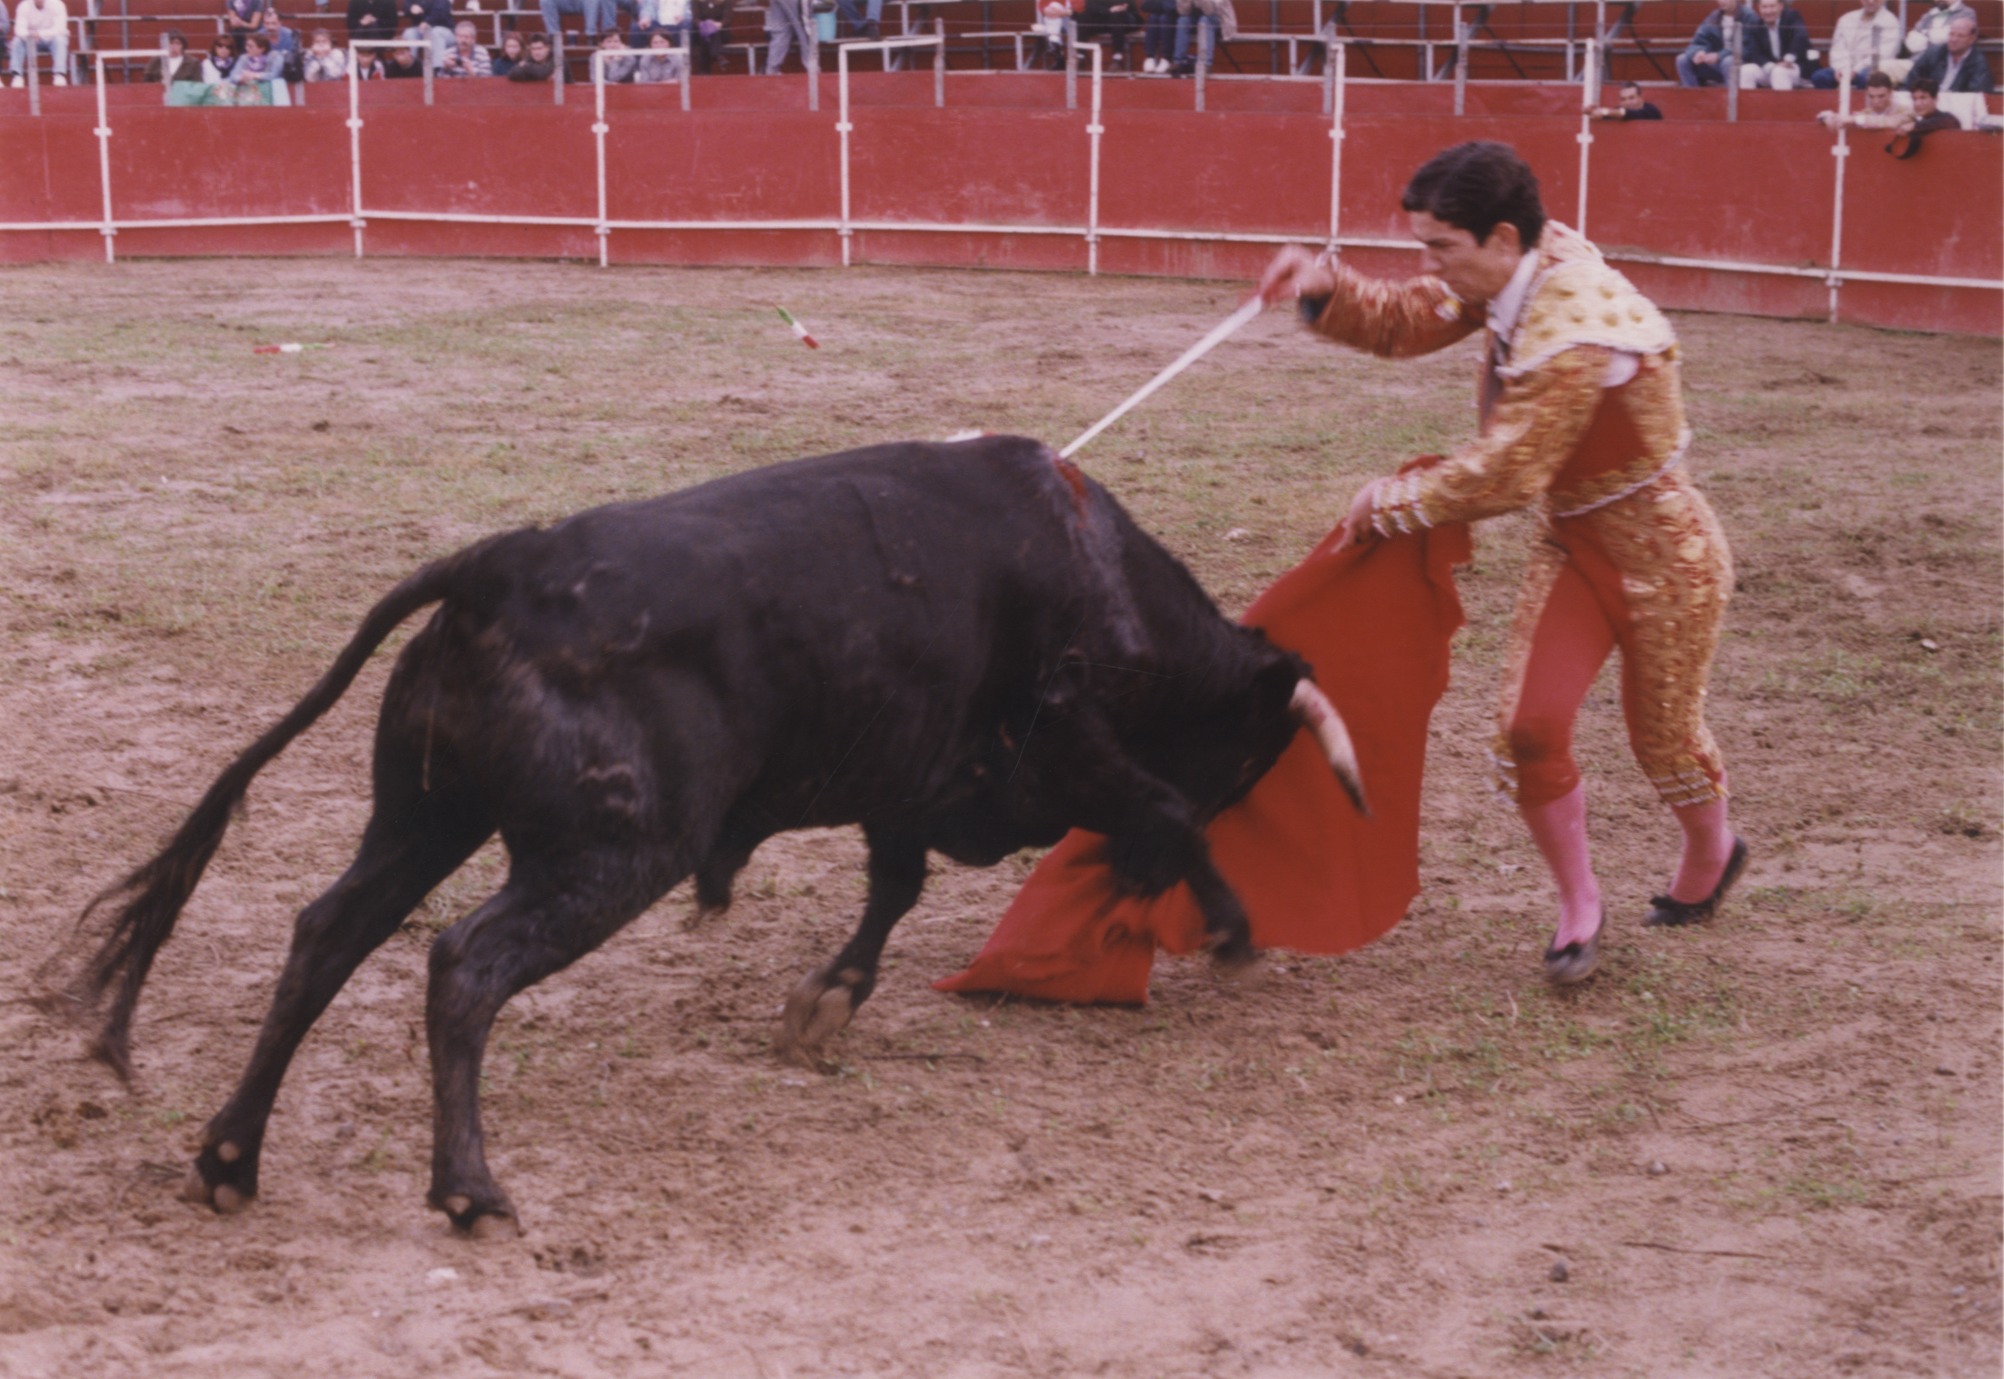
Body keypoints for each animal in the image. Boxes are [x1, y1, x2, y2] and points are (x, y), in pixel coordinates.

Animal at [69, 435, 1362, 1236]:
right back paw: (470, 1190)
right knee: (463, 961)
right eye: (1252, 761)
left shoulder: (907, 779)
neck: (1106, 573)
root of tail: (500, 566)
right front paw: (1234, 927)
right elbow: (1160, 810)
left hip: (422, 816)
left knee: (326, 933)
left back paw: (230, 1158)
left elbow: (893, 886)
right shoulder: (1059, 739)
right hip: (610, 853)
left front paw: (823, 1005)